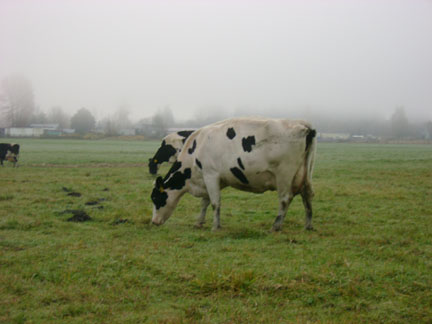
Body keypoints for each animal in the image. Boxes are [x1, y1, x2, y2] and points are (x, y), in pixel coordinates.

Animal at [152, 117, 318, 232]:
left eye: (155, 198)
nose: (153, 222)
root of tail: (303, 125)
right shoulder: (210, 180)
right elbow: (205, 202)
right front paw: (199, 222)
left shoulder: (210, 175)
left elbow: (215, 203)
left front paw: (215, 227)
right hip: (305, 173)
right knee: (307, 195)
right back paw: (308, 225)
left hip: (284, 174)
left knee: (285, 199)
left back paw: (275, 226)